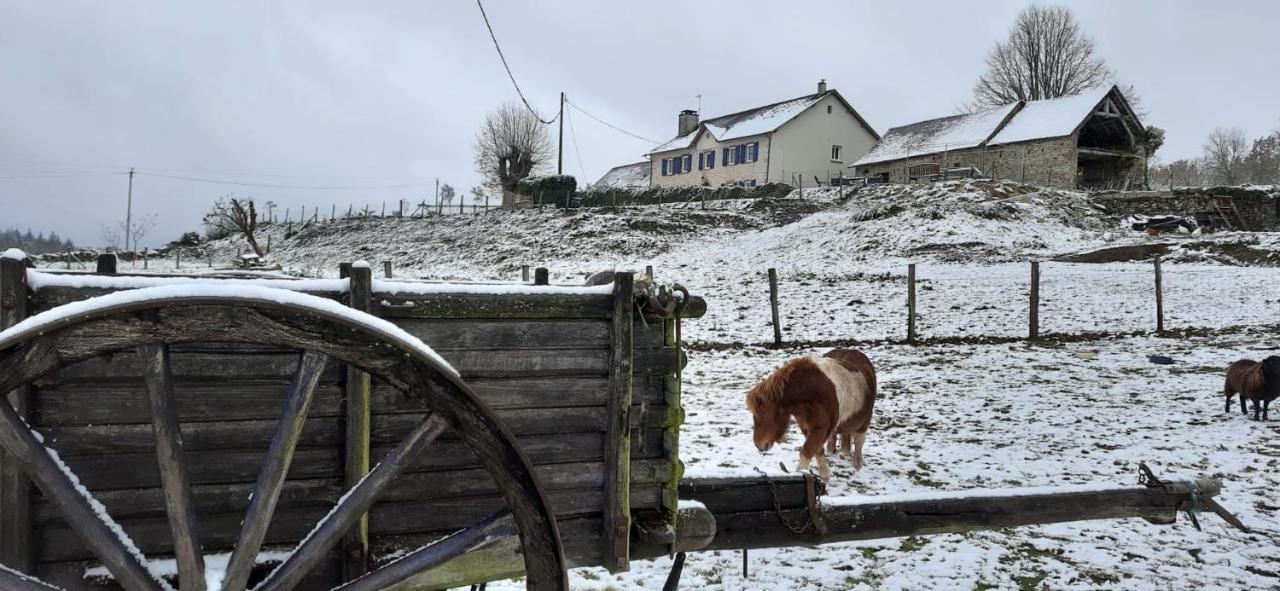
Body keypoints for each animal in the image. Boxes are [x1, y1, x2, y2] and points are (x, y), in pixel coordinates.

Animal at [747, 350, 875, 480]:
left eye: (762, 416)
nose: (758, 445)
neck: (811, 390)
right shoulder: (807, 427)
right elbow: (817, 450)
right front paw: (824, 476)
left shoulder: (820, 428)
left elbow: (807, 451)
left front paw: (802, 473)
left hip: (864, 422)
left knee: (859, 441)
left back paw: (857, 463)